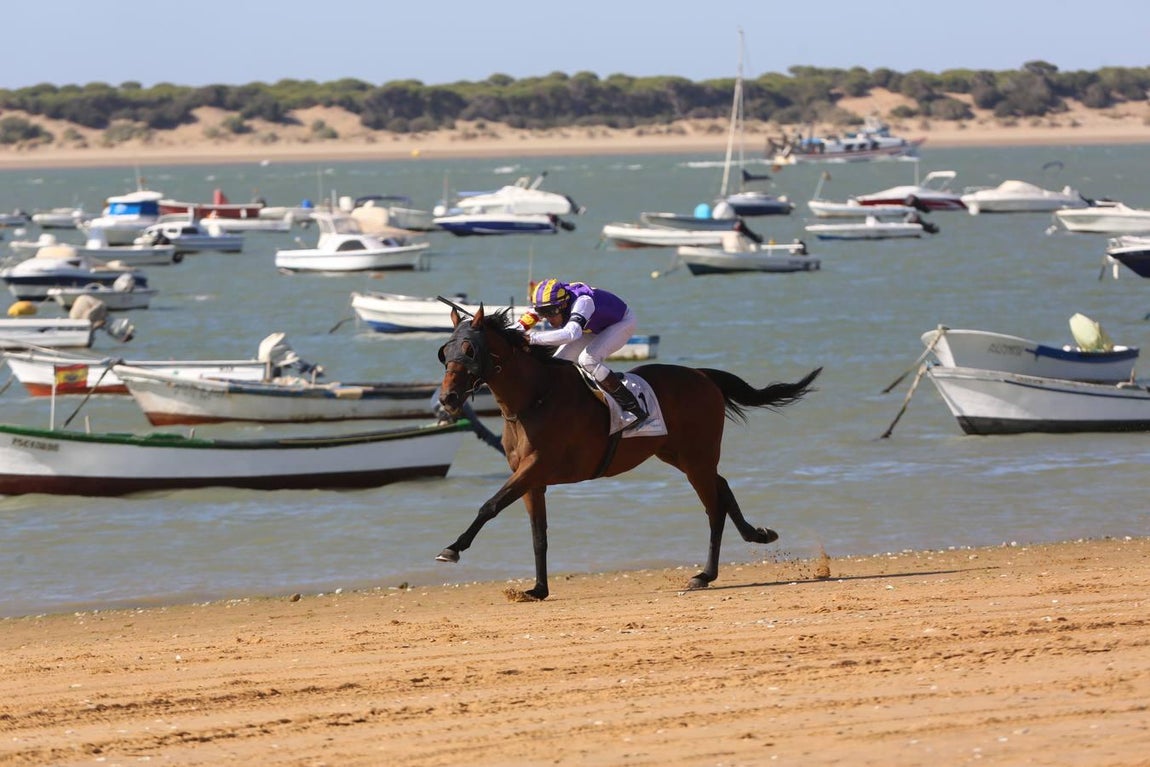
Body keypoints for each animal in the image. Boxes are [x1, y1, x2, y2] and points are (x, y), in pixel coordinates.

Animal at [437, 306, 821, 600]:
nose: (447, 398)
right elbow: (538, 534)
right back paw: (757, 534)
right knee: (723, 488)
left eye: (470, 350)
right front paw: (538, 589)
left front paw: (452, 548)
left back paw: (705, 574)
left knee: (714, 507)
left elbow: (490, 506)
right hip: (679, 454)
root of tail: (702, 376)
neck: (534, 398)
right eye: (445, 351)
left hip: (697, 457)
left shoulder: (536, 467)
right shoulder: (531, 478)